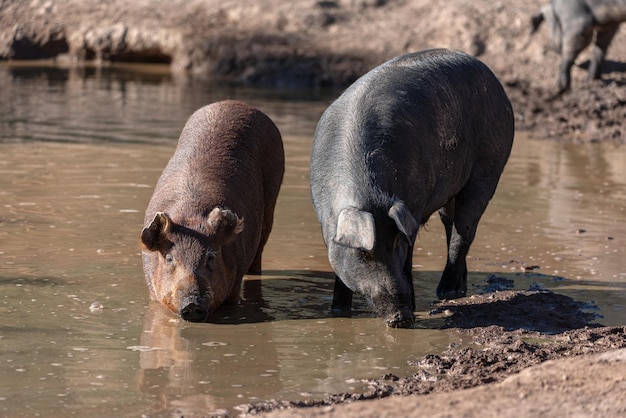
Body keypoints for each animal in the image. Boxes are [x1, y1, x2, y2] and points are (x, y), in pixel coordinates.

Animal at [310, 49, 512, 328]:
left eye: (396, 242)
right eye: (363, 253)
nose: (402, 317)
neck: (366, 194)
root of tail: (493, 79)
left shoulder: (411, 210)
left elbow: (409, 259)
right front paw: (338, 311)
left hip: (489, 167)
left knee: (464, 231)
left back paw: (446, 292)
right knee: (450, 225)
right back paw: (457, 288)